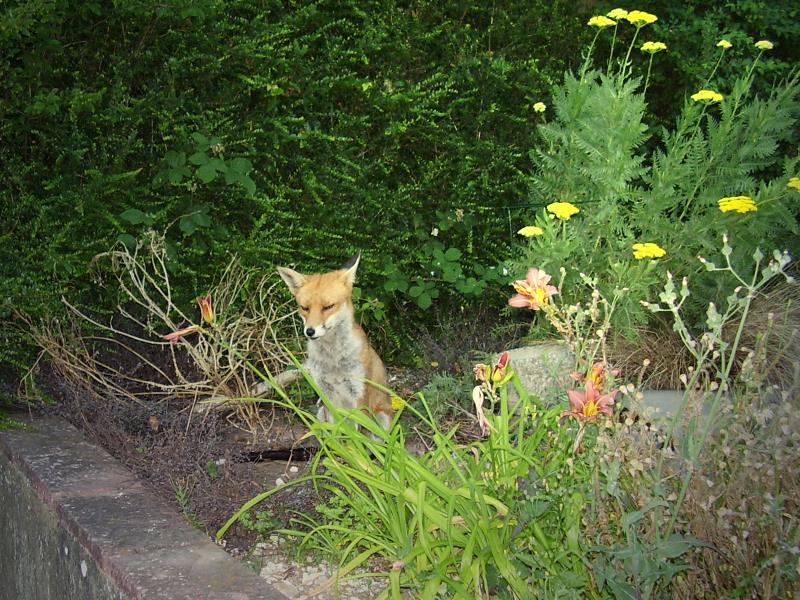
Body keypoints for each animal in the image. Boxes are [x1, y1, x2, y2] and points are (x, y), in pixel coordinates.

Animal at [268, 255, 394, 428]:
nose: (310, 331)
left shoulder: (359, 393)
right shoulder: (326, 394)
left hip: (382, 417)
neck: (333, 359)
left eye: (328, 307)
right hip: (321, 413)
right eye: (305, 308)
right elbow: (337, 432)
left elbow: (357, 434)